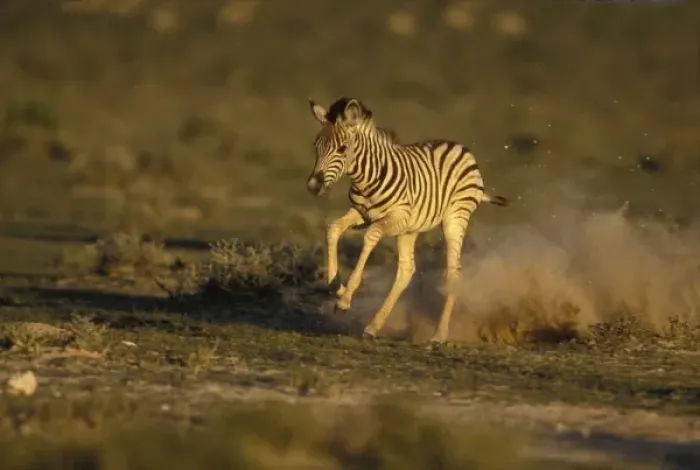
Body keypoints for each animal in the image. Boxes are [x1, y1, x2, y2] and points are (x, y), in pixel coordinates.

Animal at [306, 97, 508, 344]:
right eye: (316, 146)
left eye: (342, 149)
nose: (313, 186)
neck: (367, 179)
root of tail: (461, 148)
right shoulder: (361, 213)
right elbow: (333, 229)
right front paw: (337, 285)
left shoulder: (396, 218)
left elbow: (371, 236)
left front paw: (344, 300)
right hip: (410, 230)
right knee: (406, 271)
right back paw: (373, 326)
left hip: (454, 219)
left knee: (453, 273)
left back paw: (439, 335)